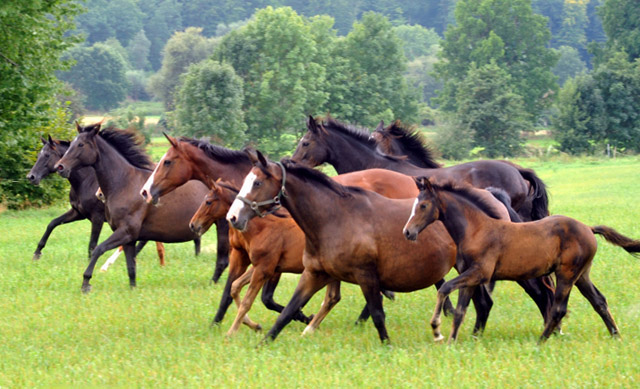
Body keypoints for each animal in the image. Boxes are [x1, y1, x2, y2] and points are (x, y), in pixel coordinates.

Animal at [55, 122, 206, 292]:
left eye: (81, 144)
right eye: (71, 144)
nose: (60, 167)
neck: (124, 184)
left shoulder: (126, 231)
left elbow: (98, 249)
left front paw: (86, 282)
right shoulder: (130, 238)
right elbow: (131, 268)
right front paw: (132, 289)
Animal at [226, 149, 464, 342]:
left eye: (257, 183)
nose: (233, 217)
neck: (334, 218)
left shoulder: (366, 275)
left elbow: (378, 314)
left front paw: (387, 345)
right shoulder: (313, 273)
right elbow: (287, 312)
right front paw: (262, 342)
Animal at [404, 177, 640, 342]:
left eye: (423, 206)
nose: (407, 232)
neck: (476, 230)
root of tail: (588, 228)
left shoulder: (479, 273)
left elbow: (445, 289)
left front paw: (436, 330)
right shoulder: (470, 278)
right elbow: (461, 311)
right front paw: (452, 342)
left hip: (566, 274)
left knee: (558, 308)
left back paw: (540, 341)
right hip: (581, 275)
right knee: (598, 301)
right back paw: (616, 336)